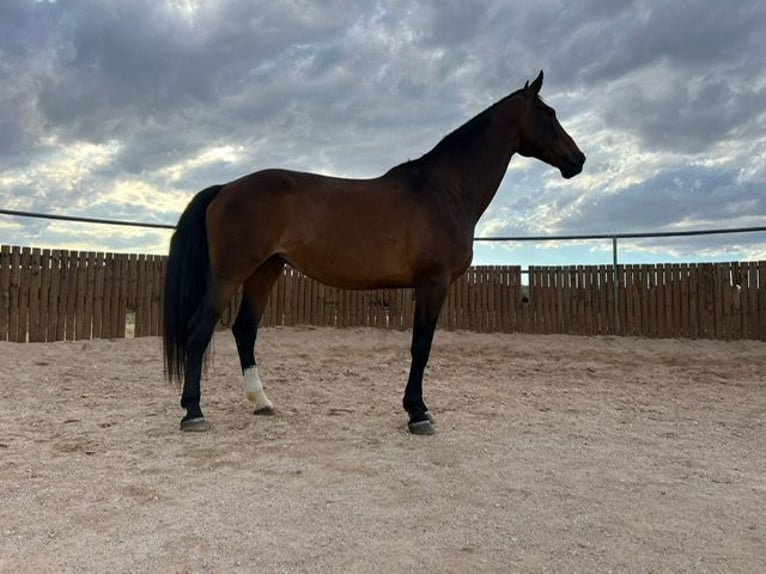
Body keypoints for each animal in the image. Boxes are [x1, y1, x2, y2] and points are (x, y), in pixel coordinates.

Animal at [163, 70, 585, 435]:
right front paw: (417, 413)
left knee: (245, 330)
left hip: (266, 271)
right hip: (230, 274)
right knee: (200, 330)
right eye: (549, 113)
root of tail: (225, 188)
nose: (578, 160)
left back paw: (262, 402)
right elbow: (421, 347)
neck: (442, 190)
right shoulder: (432, 284)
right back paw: (194, 413)